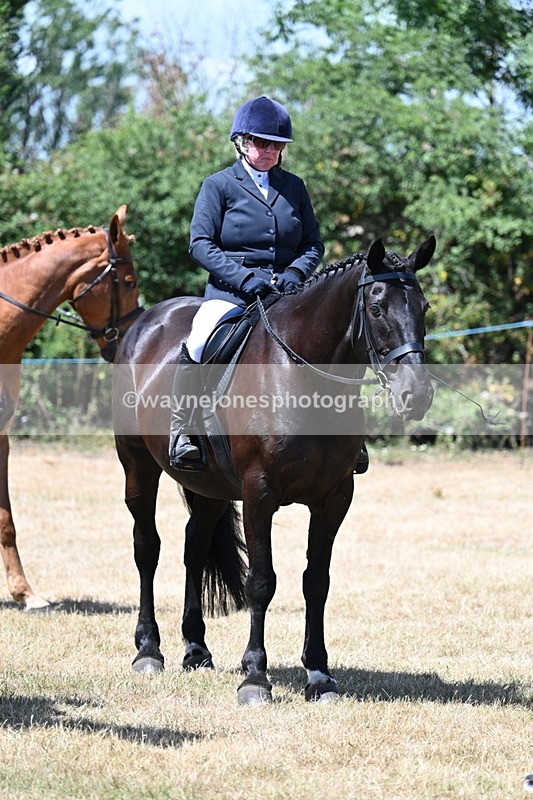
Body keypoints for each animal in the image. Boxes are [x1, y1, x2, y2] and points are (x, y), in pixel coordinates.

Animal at [113, 235, 436, 703]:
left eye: (424, 307)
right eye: (376, 309)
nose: (417, 395)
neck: (302, 376)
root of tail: (145, 323)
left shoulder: (334, 498)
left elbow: (316, 581)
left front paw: (319, 675)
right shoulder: (259, 493)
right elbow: (261, 582)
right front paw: (254, 677)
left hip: (210, 487)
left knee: (194, 546)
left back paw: (196, 649)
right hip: (137, 466)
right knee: (146, 548)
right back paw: (148, 651)